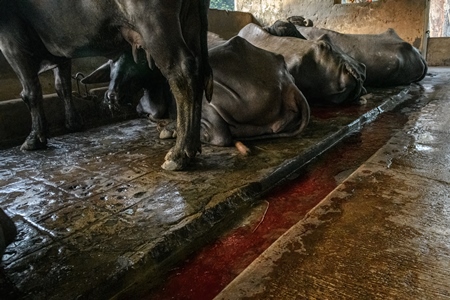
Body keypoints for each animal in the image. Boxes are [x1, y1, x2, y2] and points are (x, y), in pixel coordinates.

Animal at [0, 0, 213, 171]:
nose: (112, 97)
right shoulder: (60, 49)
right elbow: (62, 86)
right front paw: (73, 122)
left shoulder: (11, 39)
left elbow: (30, 92)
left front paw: (34, 138)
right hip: (191, 21)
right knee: (197, 68)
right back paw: (182, 135)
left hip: (155, 26)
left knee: (182, 73)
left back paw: (180, 153)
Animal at [83, 36, 310, 150]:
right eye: (111, 64)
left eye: (135, 64)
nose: (112, 96)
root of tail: (286, 82)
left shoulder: (155, 106)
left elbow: (148, 110)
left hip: (208, 97)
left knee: (220, 136)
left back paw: (173, 131)